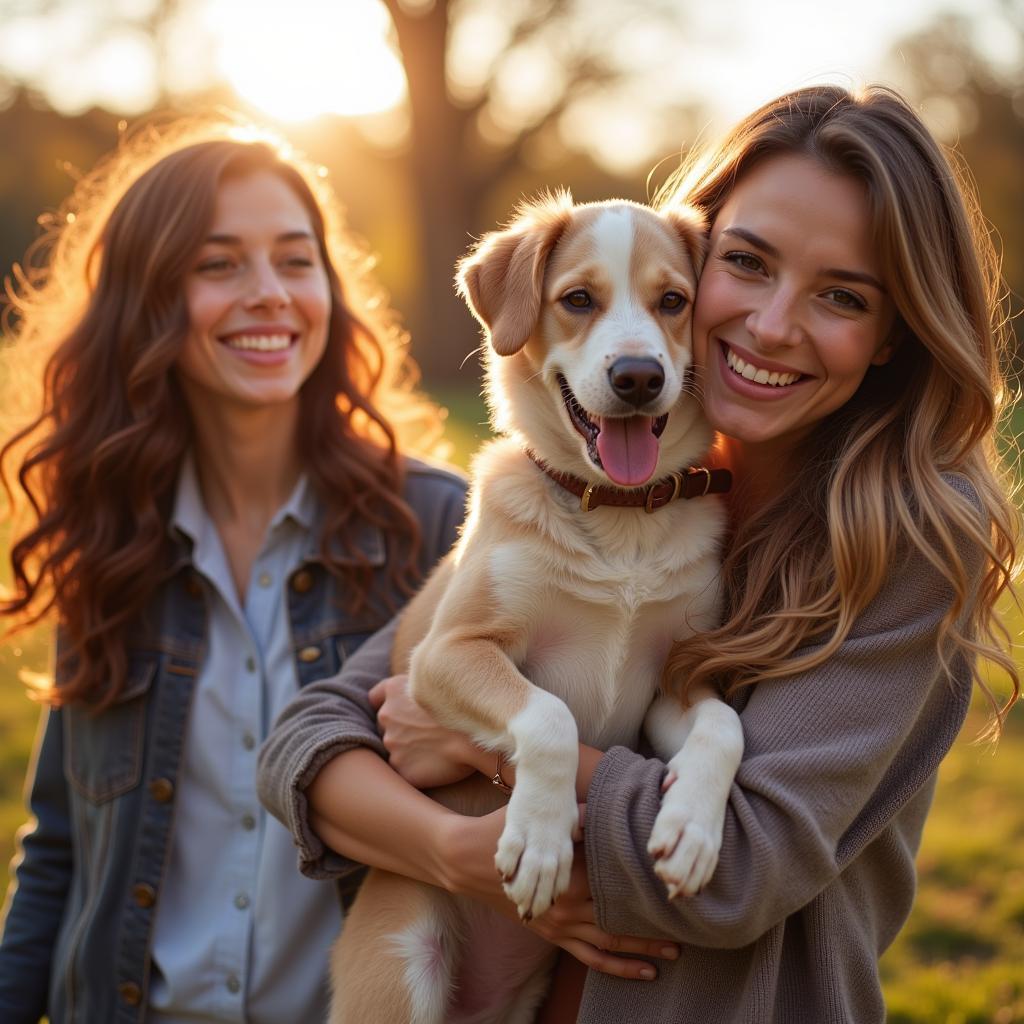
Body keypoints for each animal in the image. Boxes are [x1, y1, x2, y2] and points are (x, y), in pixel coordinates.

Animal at [329, 193, 745, 1024]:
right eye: (577, 300)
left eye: (674, 302)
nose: (639, 376)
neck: (620, 517)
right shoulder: (448, 654)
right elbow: (548, 717)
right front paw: (543, 842)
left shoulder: (672, 683)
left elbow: (725, 728)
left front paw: (690, 831)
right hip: (403, 966)